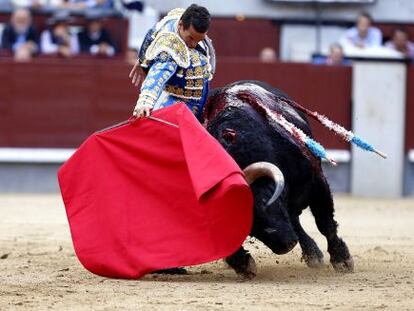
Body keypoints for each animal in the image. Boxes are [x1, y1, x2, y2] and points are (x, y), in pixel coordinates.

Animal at [204, 80, 352, 278]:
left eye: (262, 203)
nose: (286, 244)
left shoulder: (318, 182)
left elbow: (325, 221)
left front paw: (342, 260)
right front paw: (243, 264)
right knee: (294, 220)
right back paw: (312, 253)